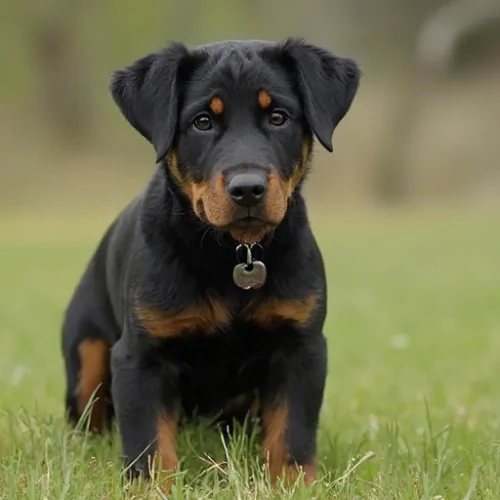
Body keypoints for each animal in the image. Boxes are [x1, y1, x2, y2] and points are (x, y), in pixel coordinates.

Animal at [61, 36, 360, 488]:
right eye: (202, 121)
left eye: (278, 117)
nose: (248, 189)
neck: (233, 253)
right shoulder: (140, 356)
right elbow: (149, 443)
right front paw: (152, 489)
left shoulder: (301, 346)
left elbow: (291, 433)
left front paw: (293, 484)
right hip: (87, 350)